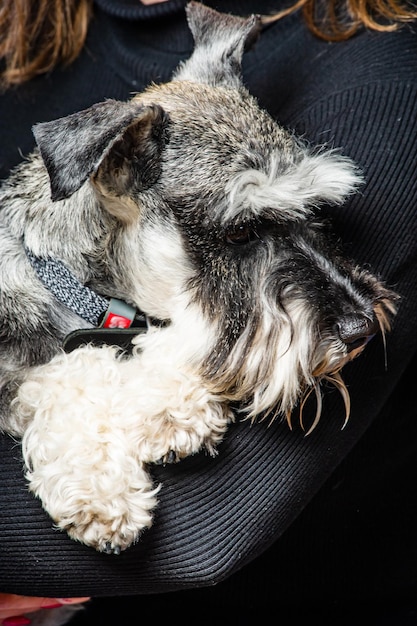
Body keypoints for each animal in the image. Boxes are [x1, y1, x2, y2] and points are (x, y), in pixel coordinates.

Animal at [0, 0, 396, 564]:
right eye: (240, 230)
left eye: (314, 210)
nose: (361, 327)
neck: (68, 280)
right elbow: (61, 374)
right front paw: (103, 485)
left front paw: (168, 403)